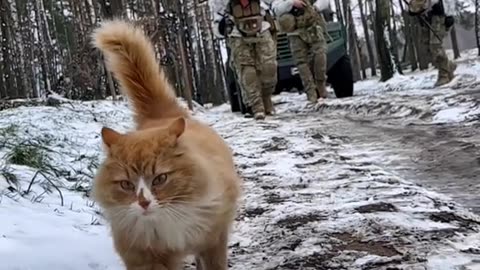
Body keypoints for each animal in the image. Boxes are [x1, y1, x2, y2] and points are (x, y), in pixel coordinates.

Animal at [90, 20, 242, 268]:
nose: (143, 202)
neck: (167, 222)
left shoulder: (213, 239)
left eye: (160, 179)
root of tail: (161, 114)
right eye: (126, 184)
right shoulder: (145, 256)